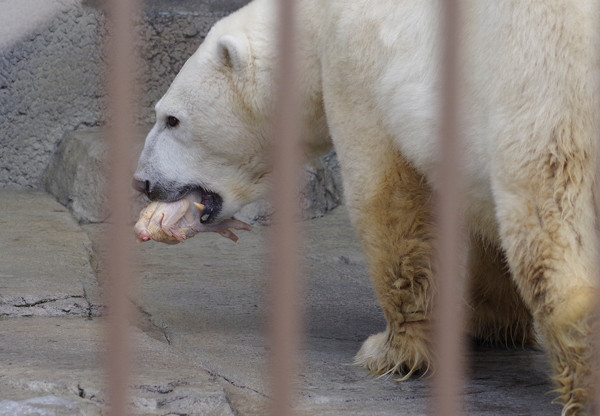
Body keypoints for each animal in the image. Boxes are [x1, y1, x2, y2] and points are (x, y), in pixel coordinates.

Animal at [135, 0, 600, 412]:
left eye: (171, 119)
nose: (142, 182)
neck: (316, 21)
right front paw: (490, 320)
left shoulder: (357, 62)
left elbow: (386, 196)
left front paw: (391, 350)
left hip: (546, 89)